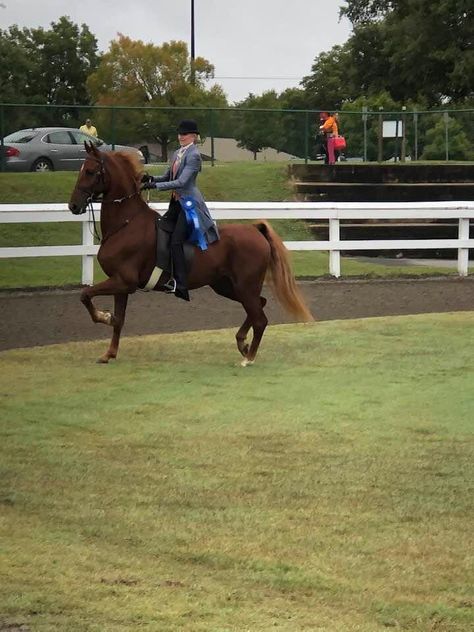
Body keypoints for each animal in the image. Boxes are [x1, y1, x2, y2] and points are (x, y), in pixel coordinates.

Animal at [66, 141, 312, 362]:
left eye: (90, 171)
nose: (73, 206)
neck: (126, 223)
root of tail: (255, 230)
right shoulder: (120, 285)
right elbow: (118, 319)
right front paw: (109, 353)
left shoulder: (124, 281)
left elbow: (85, 295)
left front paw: (103, 316)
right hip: (226, 286)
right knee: (258, 306)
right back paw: (242, 343)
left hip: (244, 286)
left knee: (260, 318)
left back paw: (248, 357)